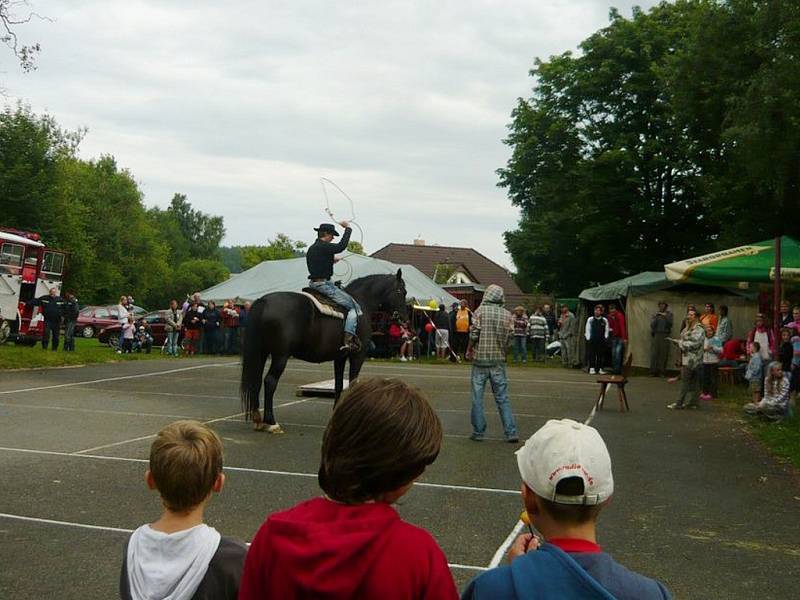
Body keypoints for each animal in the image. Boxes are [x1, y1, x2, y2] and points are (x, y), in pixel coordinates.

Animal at [239, 270, 406, 432]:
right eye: (401, 291)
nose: (404, 319)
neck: (362, 302)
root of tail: (263, 301)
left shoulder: (340, 357)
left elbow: (339, 385)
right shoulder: (357, 356)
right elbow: (352, 384)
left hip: (262, 353)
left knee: (256, 381)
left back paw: (257, 420)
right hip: (280, 356)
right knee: (270, 382)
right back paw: (272, 423)